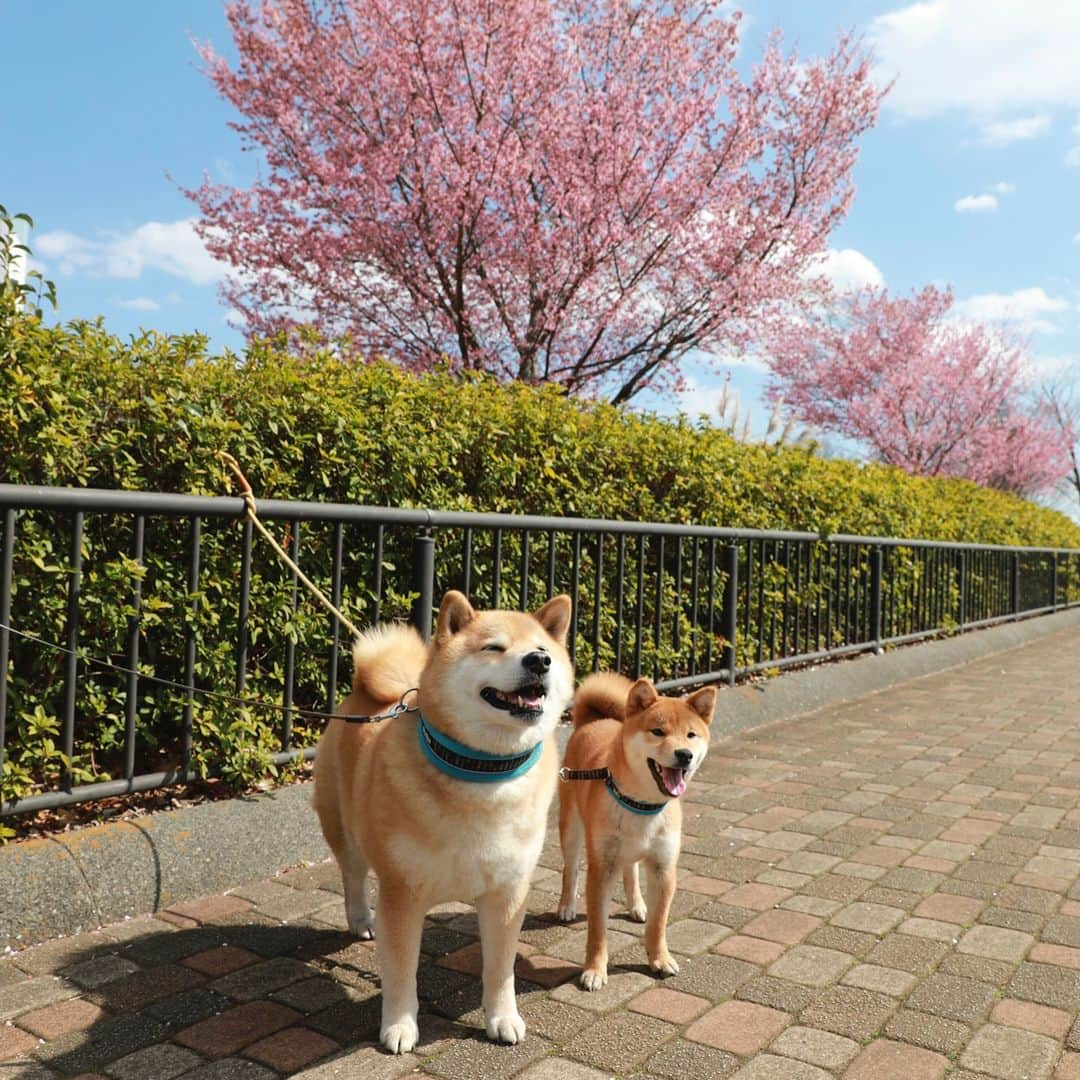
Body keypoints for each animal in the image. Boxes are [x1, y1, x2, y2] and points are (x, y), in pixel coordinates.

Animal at [315, 591, 574, 1054]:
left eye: (543, 649)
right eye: (494, 647)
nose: (539, 661)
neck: (483, 773)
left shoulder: (508, 895)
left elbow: (500, 970)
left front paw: (502, 1018)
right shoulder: (402, 895)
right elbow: (401, 972)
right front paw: (399, 1026)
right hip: (345, 830)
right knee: (353, 876)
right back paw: (361, 919)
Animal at [557, 673, 717, 989]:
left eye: (691, 735)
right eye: (657, 731)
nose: (685, 755)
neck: (641, 805)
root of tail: (593, 722)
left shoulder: (663, 868)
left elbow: (658, 924)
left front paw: (659, 959)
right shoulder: (601, 868)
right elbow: (597, 930)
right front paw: (594, 970)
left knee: (630, 871)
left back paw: (637, 905)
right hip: (571, 829)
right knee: (571, 869)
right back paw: (567, 906)